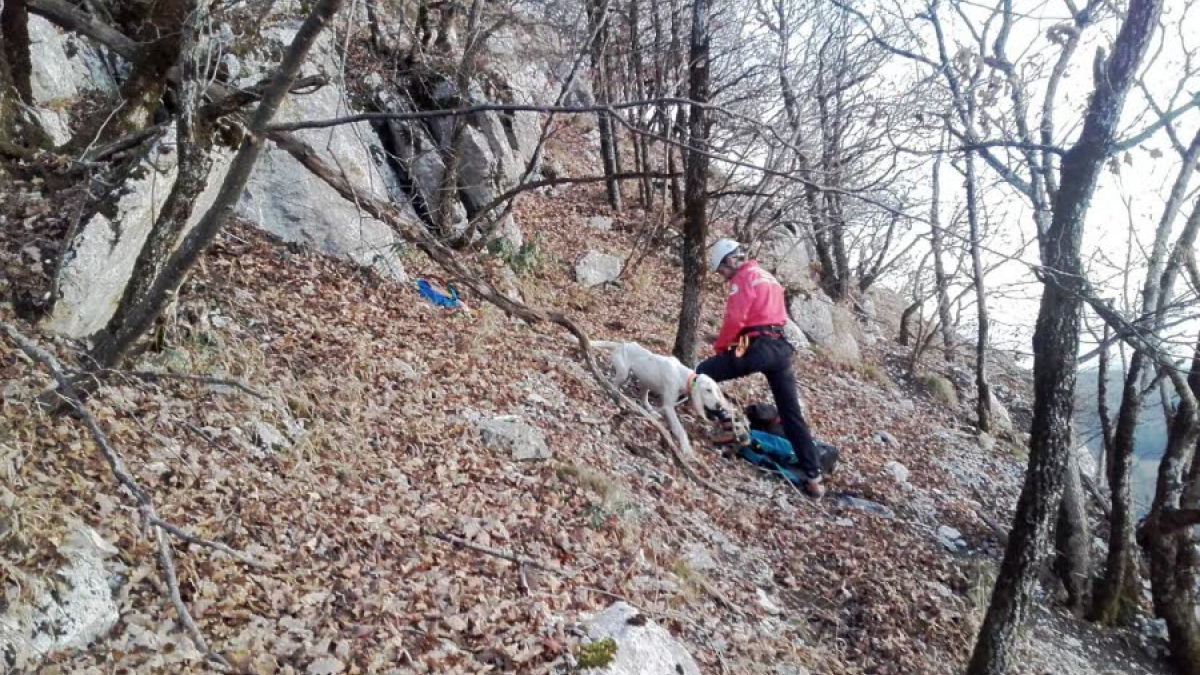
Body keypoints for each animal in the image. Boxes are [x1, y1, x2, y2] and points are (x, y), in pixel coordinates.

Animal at [592, 338, 734, 454]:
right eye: (708, 390)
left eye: (716, 391)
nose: (719, 406)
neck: (681, 375)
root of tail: (621, 344)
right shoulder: (669, 406)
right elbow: (680, 429)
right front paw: (686, 447)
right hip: (623, 373)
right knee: (614, 384)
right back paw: (617, 397)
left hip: (646, 382)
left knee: (643, 397)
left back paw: (651, 411)